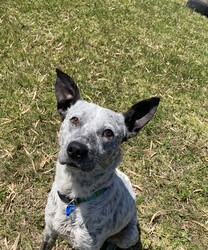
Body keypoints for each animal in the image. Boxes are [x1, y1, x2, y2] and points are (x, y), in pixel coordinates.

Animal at [41, 69, 160, 250]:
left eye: (108, 133)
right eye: (74, 119)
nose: (76, 149)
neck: (73, 198)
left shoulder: (87, 246)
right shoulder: (49, 231)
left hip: (129, 236)